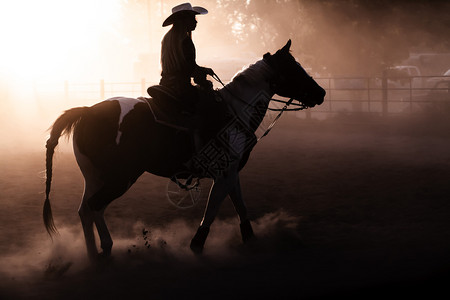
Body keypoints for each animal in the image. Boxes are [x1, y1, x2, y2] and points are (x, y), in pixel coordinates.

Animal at [44, 39, 326, 260]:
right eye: (295, 68)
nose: (321, 93)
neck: (235, 111)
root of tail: (87, 112)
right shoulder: (223, 174)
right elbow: (213, 208)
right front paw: (196, 244)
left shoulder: (231, 172)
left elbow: (240, 204)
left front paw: (250, 238)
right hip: (121, 176)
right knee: (95, 206)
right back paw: (106, 247)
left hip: (94, 176)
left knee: (85, 210)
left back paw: (92, 253)